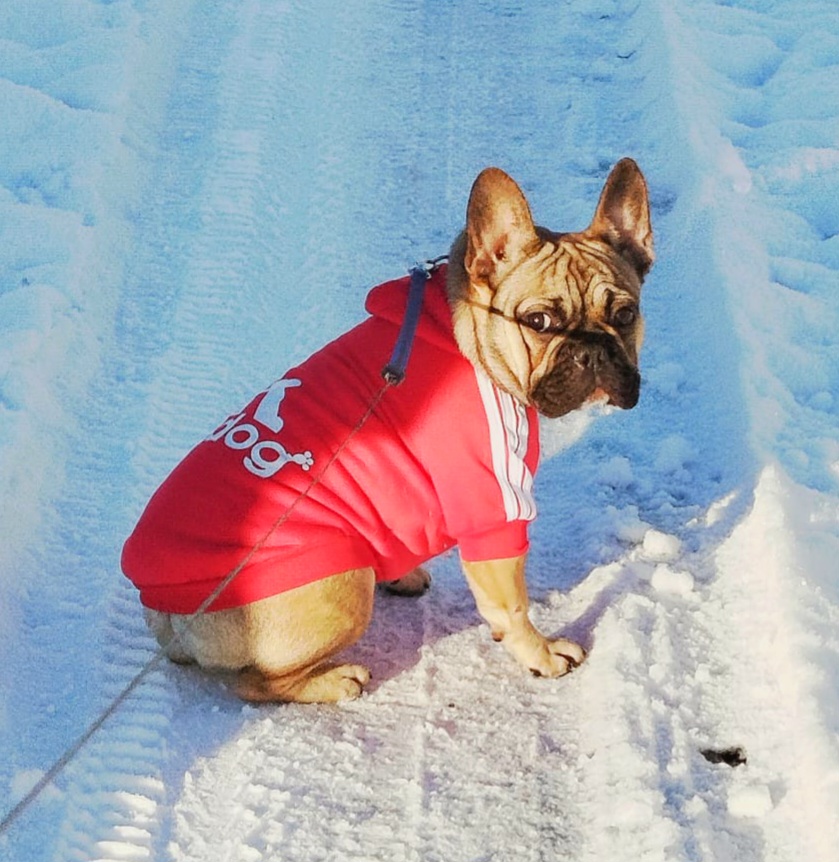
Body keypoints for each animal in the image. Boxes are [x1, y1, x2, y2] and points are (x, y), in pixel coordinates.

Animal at [122, 159, 653, 703]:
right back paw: (334, 680)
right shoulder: (494, 508)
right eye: (539, 321)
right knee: (255, 682)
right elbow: (511, 606)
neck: (470, 339)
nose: (591, 352)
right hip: (339, 589)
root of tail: (163, 615)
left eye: (626, 314)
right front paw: (540, 654)